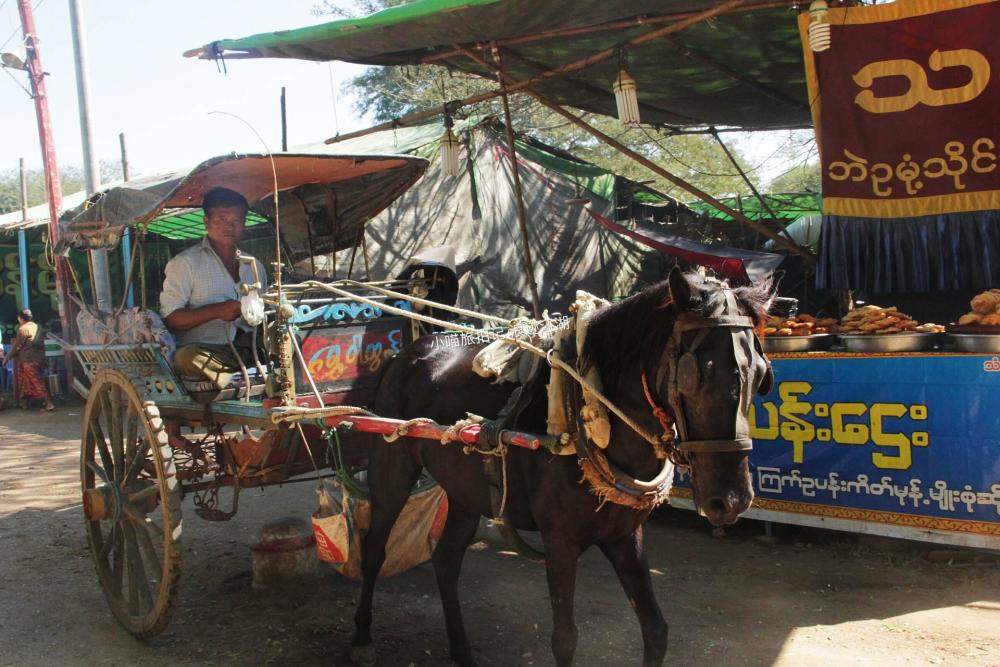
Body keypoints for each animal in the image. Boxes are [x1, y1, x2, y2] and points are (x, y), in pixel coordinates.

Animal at [350, 268, 772, 664]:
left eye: (760, 375)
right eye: (697, 374)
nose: (731, 500)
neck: (590, 409)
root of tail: (409, 352)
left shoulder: (624, 536)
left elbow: (656, 630)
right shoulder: (560, 543)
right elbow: (565, 641)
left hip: (465, 492)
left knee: (446, 561)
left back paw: (461, 650)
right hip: (391, 471)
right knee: (374, 550)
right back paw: (362, 636)